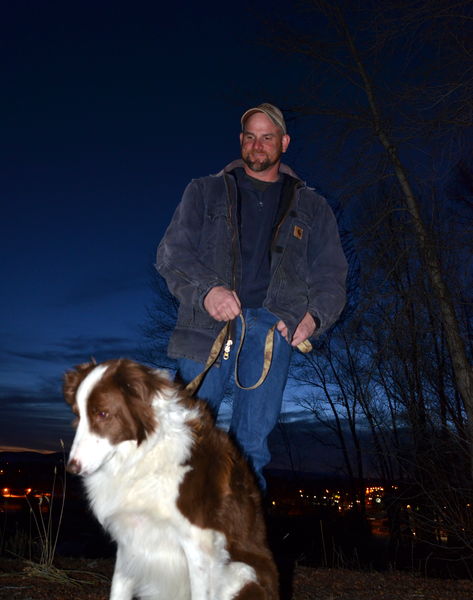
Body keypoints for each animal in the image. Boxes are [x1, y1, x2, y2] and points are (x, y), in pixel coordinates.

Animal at [62, 358, 276, 596]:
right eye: (78, 415)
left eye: (102, 414)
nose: (71, 468)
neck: (143, 456)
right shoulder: (129, 540)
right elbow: (118, 589)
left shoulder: (199, 544)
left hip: (241, 573)